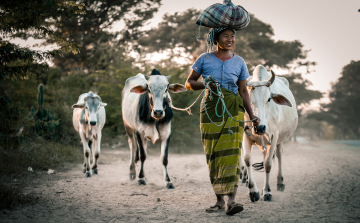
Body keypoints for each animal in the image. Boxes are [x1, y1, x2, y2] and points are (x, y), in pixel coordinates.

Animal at [240, 64, 296, 202]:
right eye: (249, 100)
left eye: (269, 99)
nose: (260, 128)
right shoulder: (245, 136)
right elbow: (247, 159)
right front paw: (253, 191)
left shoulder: (274, 137)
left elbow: (268, 164)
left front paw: (267, 192)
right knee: (264, 154)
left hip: (280, 139)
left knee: (279, 155)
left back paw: (280, 183)